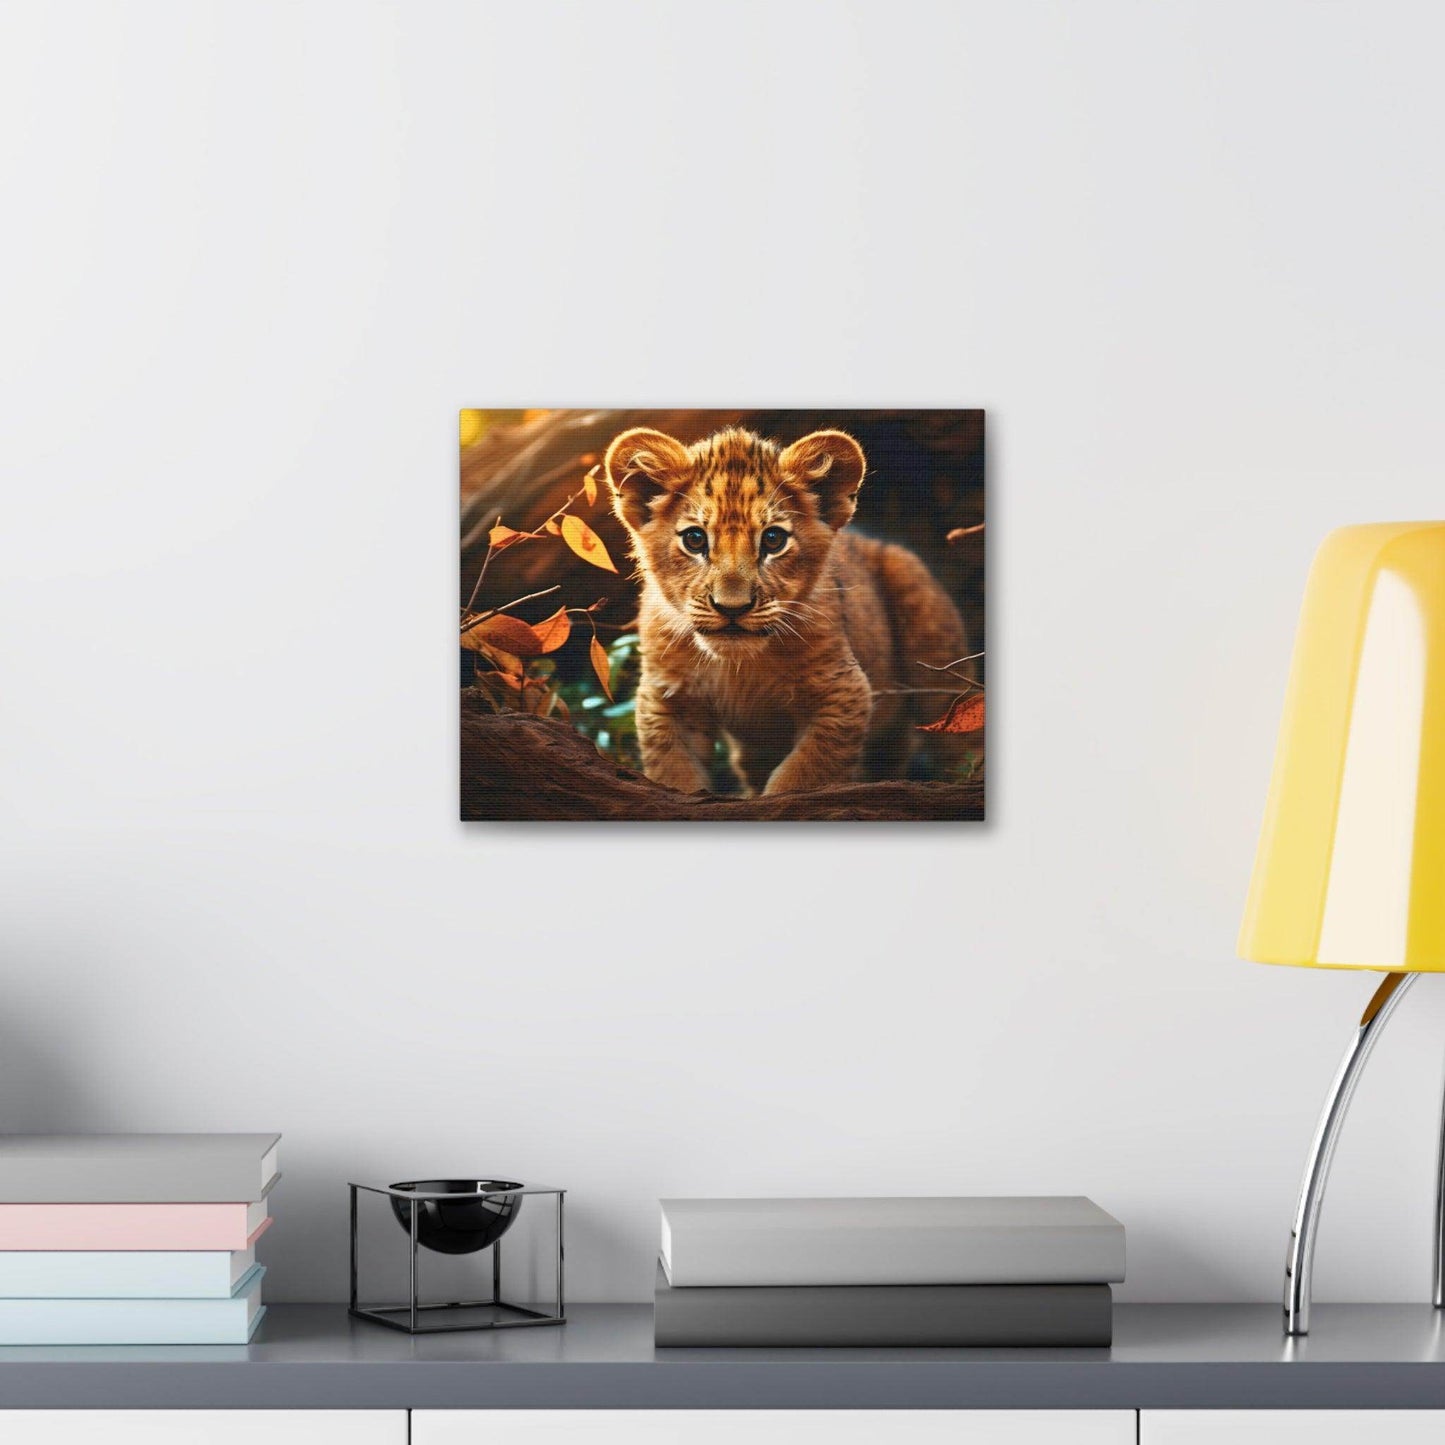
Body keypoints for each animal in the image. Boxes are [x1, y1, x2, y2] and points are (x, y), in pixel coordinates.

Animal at [604, 425, 972, 796]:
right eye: (694, 539)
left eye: (773, 540)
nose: (732, 607)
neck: (739, 667)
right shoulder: (666, 701)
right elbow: (675, 775)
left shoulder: (842, 692)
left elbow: (800, 776)